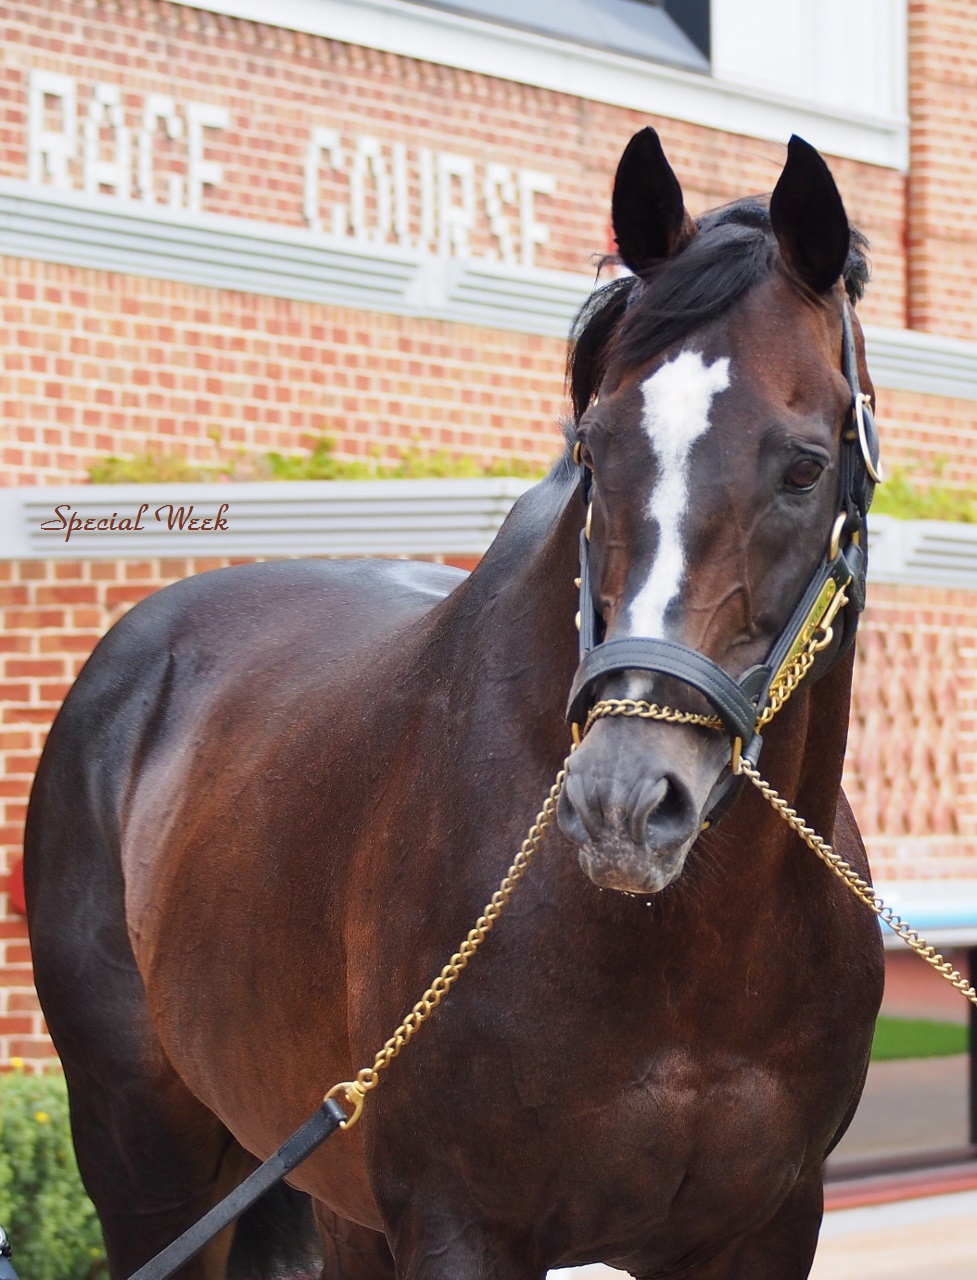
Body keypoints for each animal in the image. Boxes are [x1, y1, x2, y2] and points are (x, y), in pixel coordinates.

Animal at [24, 132, 886, 1280]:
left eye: (802, 464)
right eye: (593, 445)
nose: (622, 803)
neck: (688, 953)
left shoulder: (765, 1228)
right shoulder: (460, 1224)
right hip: (148, 1169)